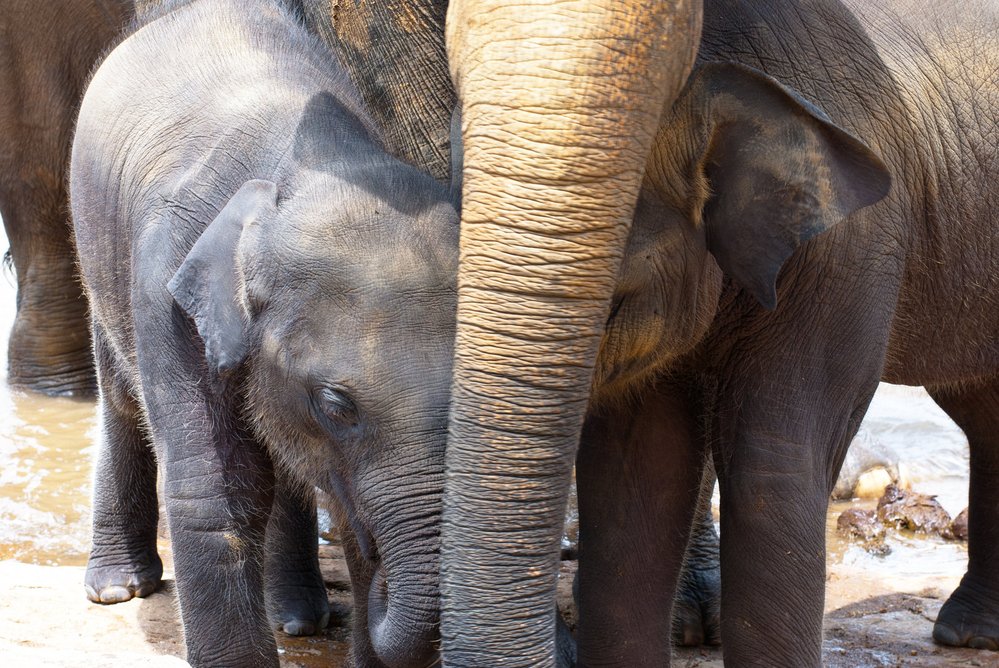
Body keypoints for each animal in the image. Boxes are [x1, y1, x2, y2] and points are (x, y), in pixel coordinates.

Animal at [71, 1, 458, 668]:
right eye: (336, 404)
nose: (382, 586)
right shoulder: (166, 289)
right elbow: (216, 494)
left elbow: (330, 494)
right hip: (97, 249)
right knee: (121, 400)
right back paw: (118, 588)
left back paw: (299, 620)